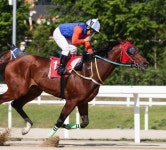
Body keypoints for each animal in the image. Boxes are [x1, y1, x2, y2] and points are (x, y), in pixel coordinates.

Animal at [0, 38, 148, 137]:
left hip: (33, 91)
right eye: (131, 50)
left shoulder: (83, 101)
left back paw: (26, 128)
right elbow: (60, 120)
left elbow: (84, 123)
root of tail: (11, 62)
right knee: (6, 100)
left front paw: (66, 126)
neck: (89, 71)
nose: (145, 63)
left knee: (16, 104)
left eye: (136, 49)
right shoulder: (72, 100)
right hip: (17, 90)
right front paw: (47, 139)